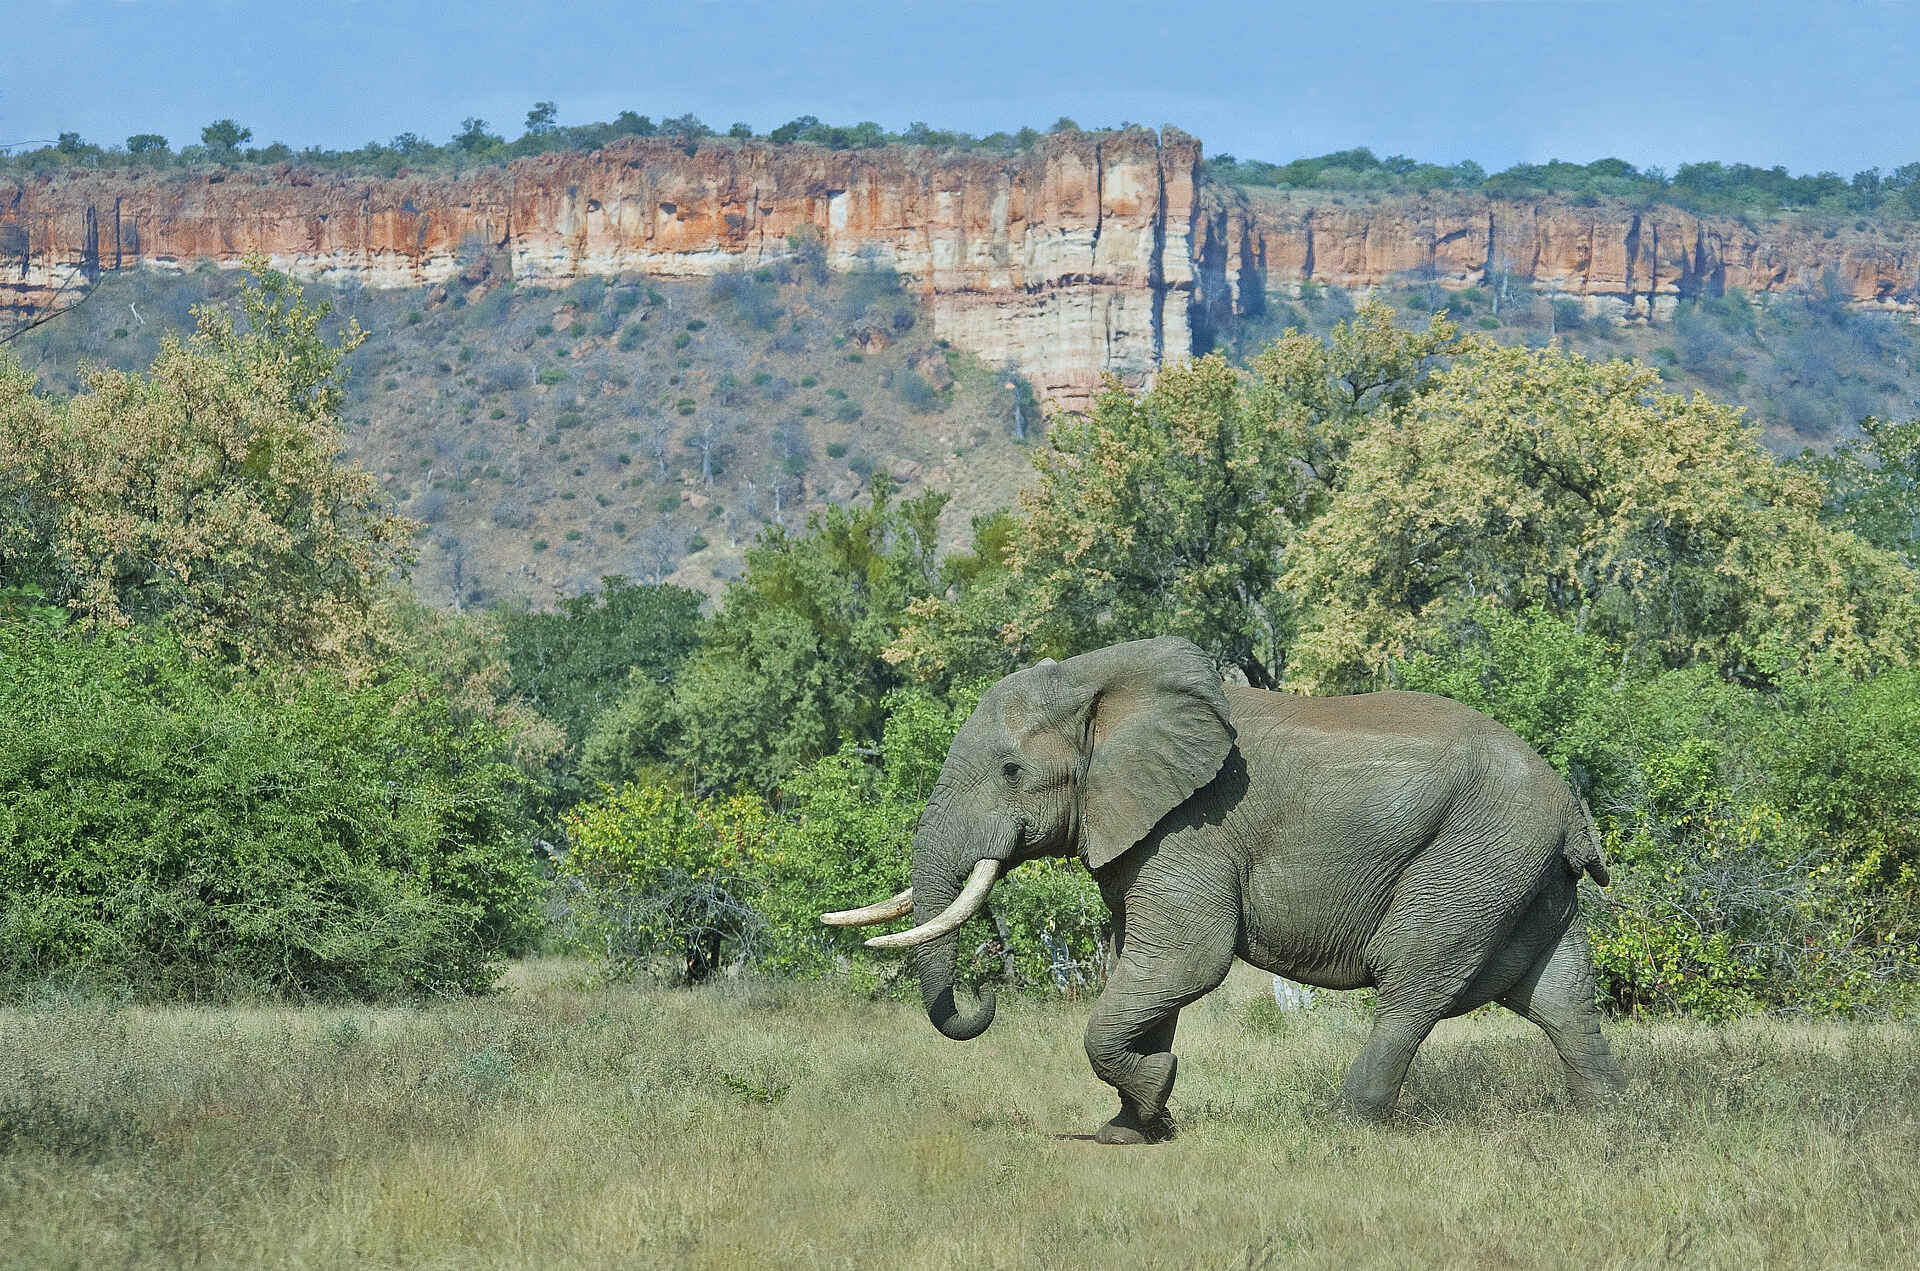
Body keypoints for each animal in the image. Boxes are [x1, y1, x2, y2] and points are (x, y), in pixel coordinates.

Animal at [823, 636, 1625, 1142]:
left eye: (1012, 771)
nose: (984, 992)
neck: (1100, 682)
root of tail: (1567, 806)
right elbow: (1143, 967)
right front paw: (1132, 1130)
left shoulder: (1190, 828)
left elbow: (1184, 960)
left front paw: (1152, 1095)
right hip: (1521, 872)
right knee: (1561, 997)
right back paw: (1612, 1125)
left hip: (1472, 860)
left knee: (1412, 983)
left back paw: (1345, 1127)